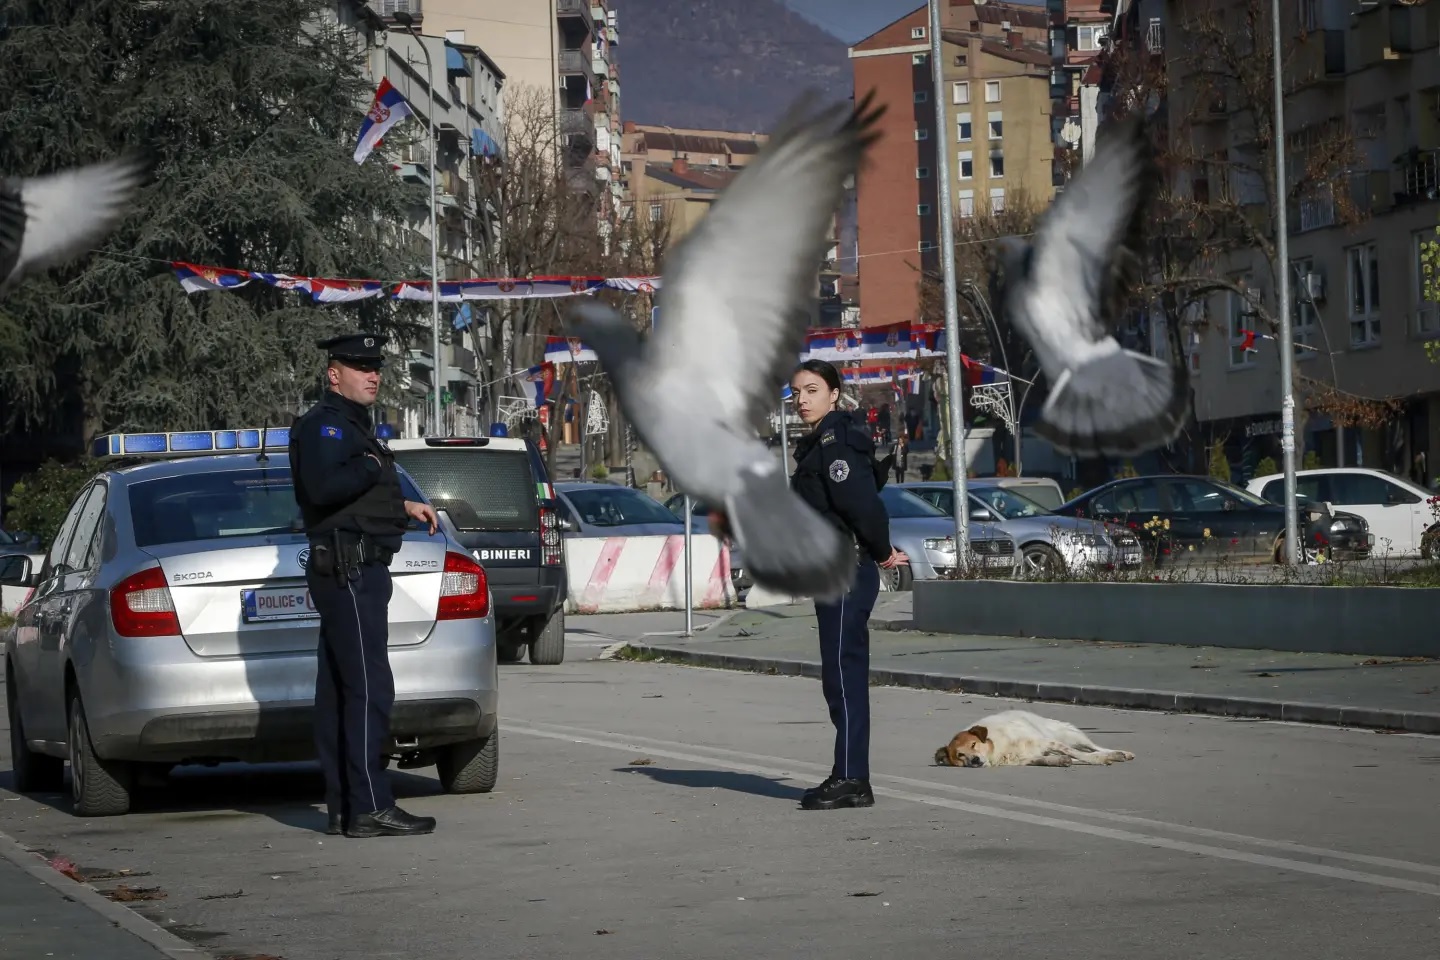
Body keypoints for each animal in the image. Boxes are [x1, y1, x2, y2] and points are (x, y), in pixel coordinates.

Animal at [933, 711, 1134, 771]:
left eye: (973, 744)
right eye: (960, 755)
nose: (974, 760)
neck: (996, 748)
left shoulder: (1047, 742)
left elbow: (1081, 754)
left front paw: (1102, 758)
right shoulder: (1027, 758)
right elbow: (1047, 759)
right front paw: (1058, 761)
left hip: (1070, 734)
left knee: (1092, 747)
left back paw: (1120, 753)